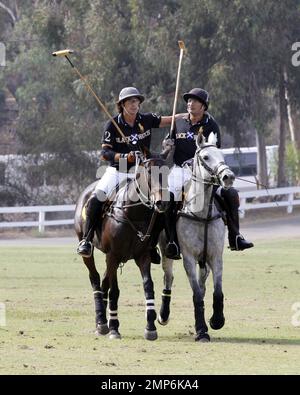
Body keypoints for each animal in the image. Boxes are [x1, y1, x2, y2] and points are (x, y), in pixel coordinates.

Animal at [74, 153, 169, 342]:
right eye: (149, 171)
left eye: (168, 171)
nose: (162, 203)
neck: (134, 213)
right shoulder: (113, 255)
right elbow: (115, 291)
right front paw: (114, 328)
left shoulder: (142, 256)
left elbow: (148, 286)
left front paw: (150, 327)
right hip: (89, 248)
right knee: (95, 278)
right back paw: (102, 321)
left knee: (104, 281)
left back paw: (101, 323)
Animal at [158, 134, 236, 344]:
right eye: (206, 157)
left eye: (222, 154)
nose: (228, 177)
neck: (201, 214)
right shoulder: (189, 258)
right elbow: (196, 295)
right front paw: (201, 331)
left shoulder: (215, 256)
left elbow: (217, 291)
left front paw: (216, 320)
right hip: (166, 251)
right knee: (168, 277)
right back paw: (163, 315)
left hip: (205, 261)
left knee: (203, 283)